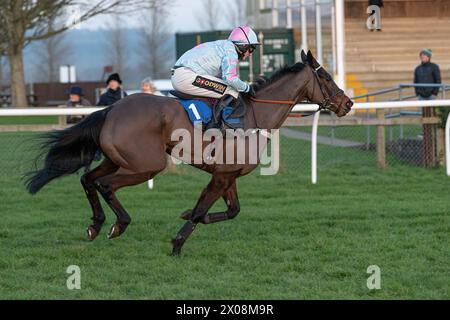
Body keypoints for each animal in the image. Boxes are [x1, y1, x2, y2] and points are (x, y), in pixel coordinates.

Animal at [26, 50, 354, 255]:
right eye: (326, 78)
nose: (347, 103)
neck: (254, 115)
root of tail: (112, 109)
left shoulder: (227, 174)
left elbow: (231, 211)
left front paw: (187, 218)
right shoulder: (221, 176)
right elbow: (199, 211)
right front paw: (177, 244)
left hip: (116, 159)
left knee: (88, 180)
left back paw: (96, 225)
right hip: (146, 165)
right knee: (105, 185)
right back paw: (119, 224)